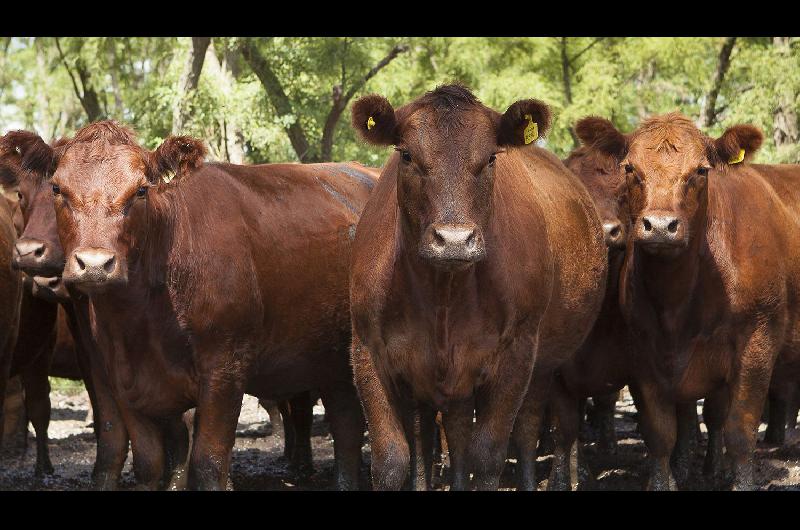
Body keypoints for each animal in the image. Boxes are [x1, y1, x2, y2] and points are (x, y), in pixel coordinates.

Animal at [21, 121, 378, 488]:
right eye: (58, 188)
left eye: (141, 191)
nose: (94, 263)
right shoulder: (121, 377)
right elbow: (148, 464)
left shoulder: (225, 367)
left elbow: (207, 462)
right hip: (332, 361)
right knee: (346, 425)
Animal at [346, 84, 604, 488]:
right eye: (407, 155)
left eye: (491, 159)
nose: (454, 240)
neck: (443, 293)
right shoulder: (367, 350)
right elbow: (391, 459)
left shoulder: (516, 354)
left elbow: (487, 455)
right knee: (440, 434)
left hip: (542, 367)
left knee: (525, 430)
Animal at [580, 113, 800, 488]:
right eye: (629, 168)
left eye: (701, 170)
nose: (660, 225)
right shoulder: (642, 351)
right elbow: (660, 432)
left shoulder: (757, 343)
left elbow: (739, 430)